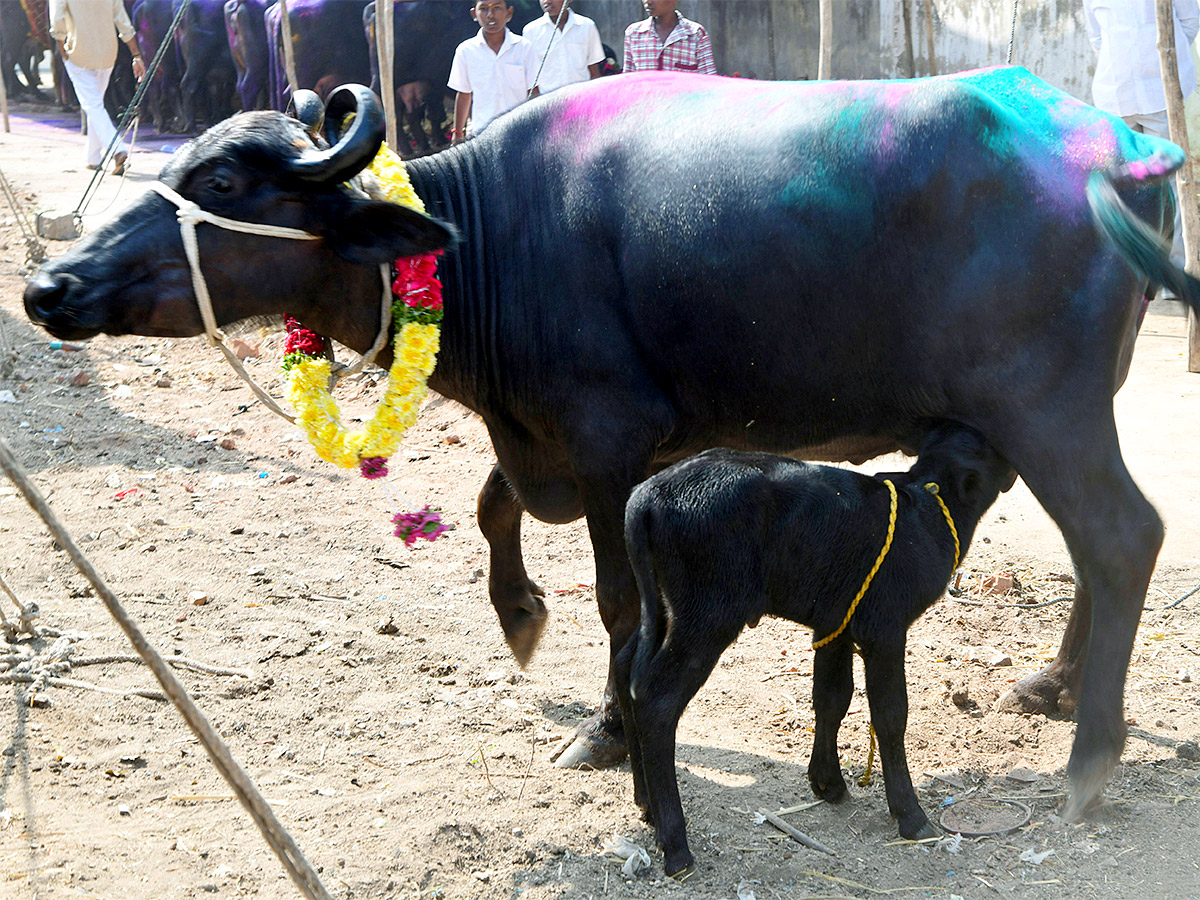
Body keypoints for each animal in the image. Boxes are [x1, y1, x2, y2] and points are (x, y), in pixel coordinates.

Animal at [23, 68, 1195, 825]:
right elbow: (494, 503)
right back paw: (1054, 686)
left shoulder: (609, 446)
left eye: (224, 185)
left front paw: (608, 726)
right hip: (1055, 407)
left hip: (1047, 404)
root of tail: (1125, 145)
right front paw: (518, 618)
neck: (491, 238)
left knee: (1123, 535)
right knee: (1097, 547)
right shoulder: (561, 438)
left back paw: (1092, 758)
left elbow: (620, 602)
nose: (50, 286)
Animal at [619, 427, 1012, 878]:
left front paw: (828, 782)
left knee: (626, 667)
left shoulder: (834, 620)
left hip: (664, 603)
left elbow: (831, 696)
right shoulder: (884, 628)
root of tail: (646, 497)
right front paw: (910, 814)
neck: (929, 510)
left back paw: (646, 804)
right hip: (708, 611)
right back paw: (675, 844)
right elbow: (890, 715)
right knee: (658, 699)